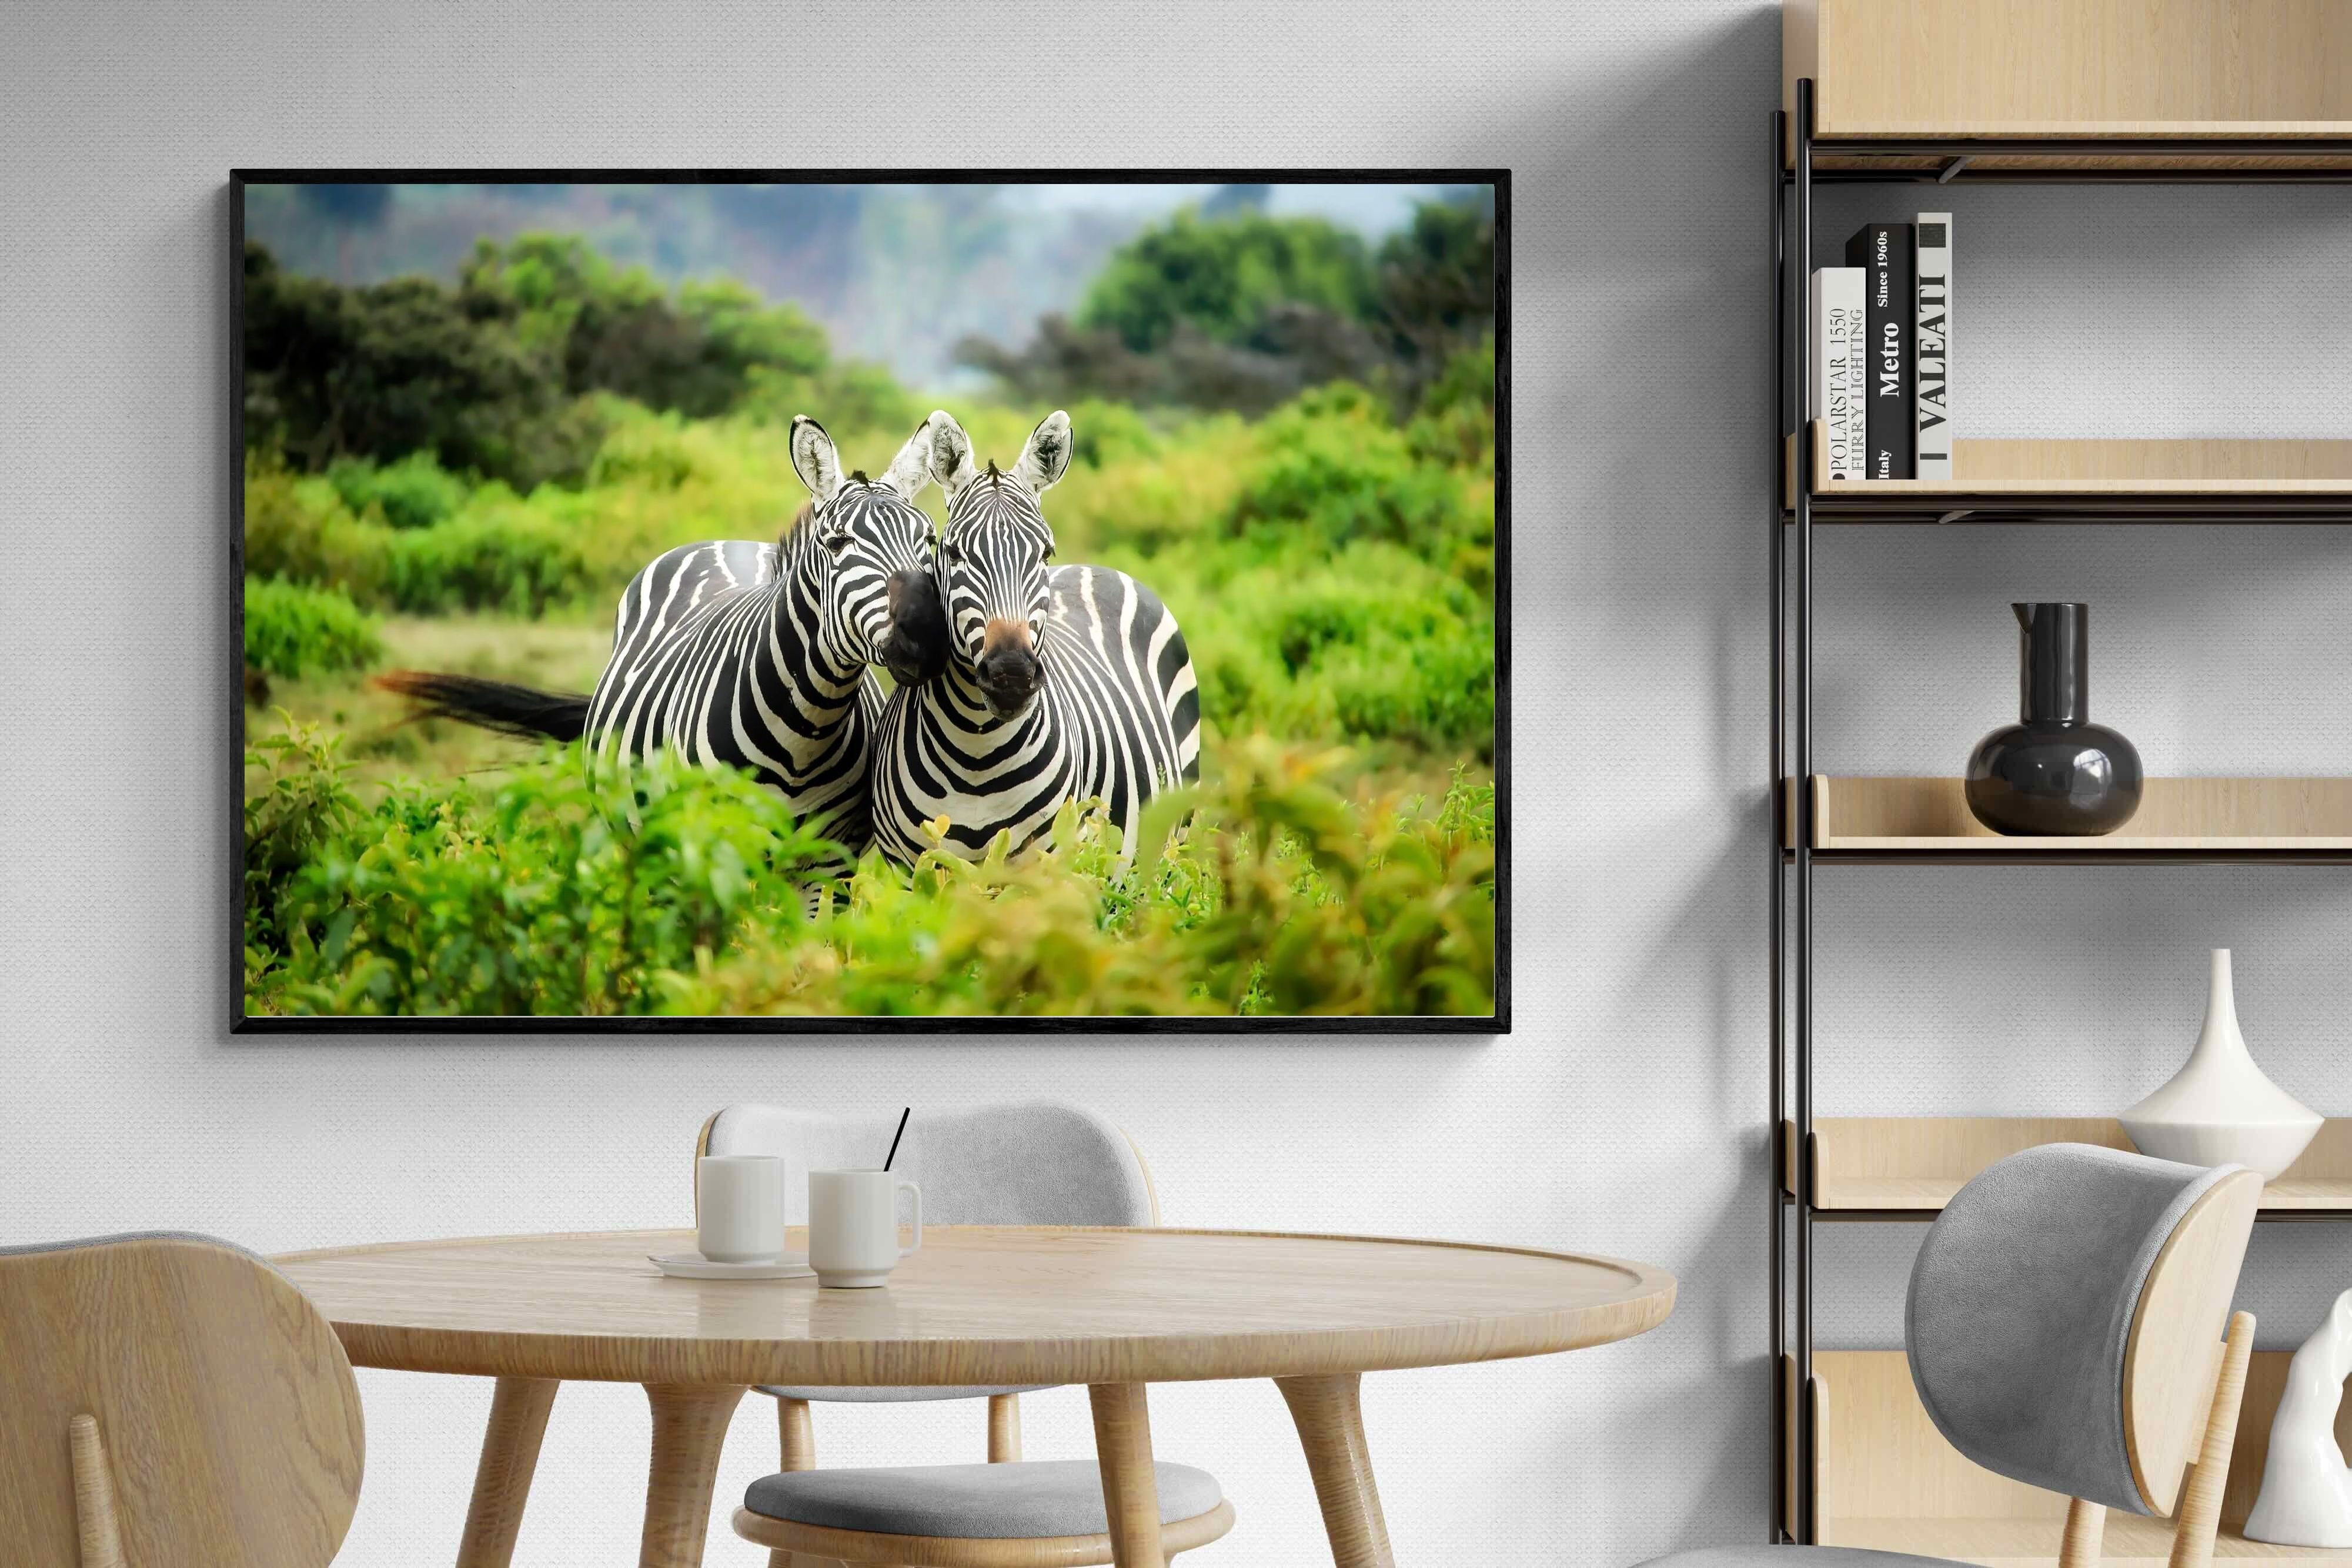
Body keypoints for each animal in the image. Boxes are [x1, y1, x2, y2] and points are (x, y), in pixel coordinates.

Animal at [377, 415, 950, 856]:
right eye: (837, 543)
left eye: (928, 539)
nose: (926, 633)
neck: (804, 730)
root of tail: (725, 541)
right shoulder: (711, 845)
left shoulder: (828, 861)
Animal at [869, 409, 1202, 866]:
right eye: (953, 553)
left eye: (1045, 553)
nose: (1011, 675)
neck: (976, 754)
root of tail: (1097, 567)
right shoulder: (912, 868)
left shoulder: (1046, 865)